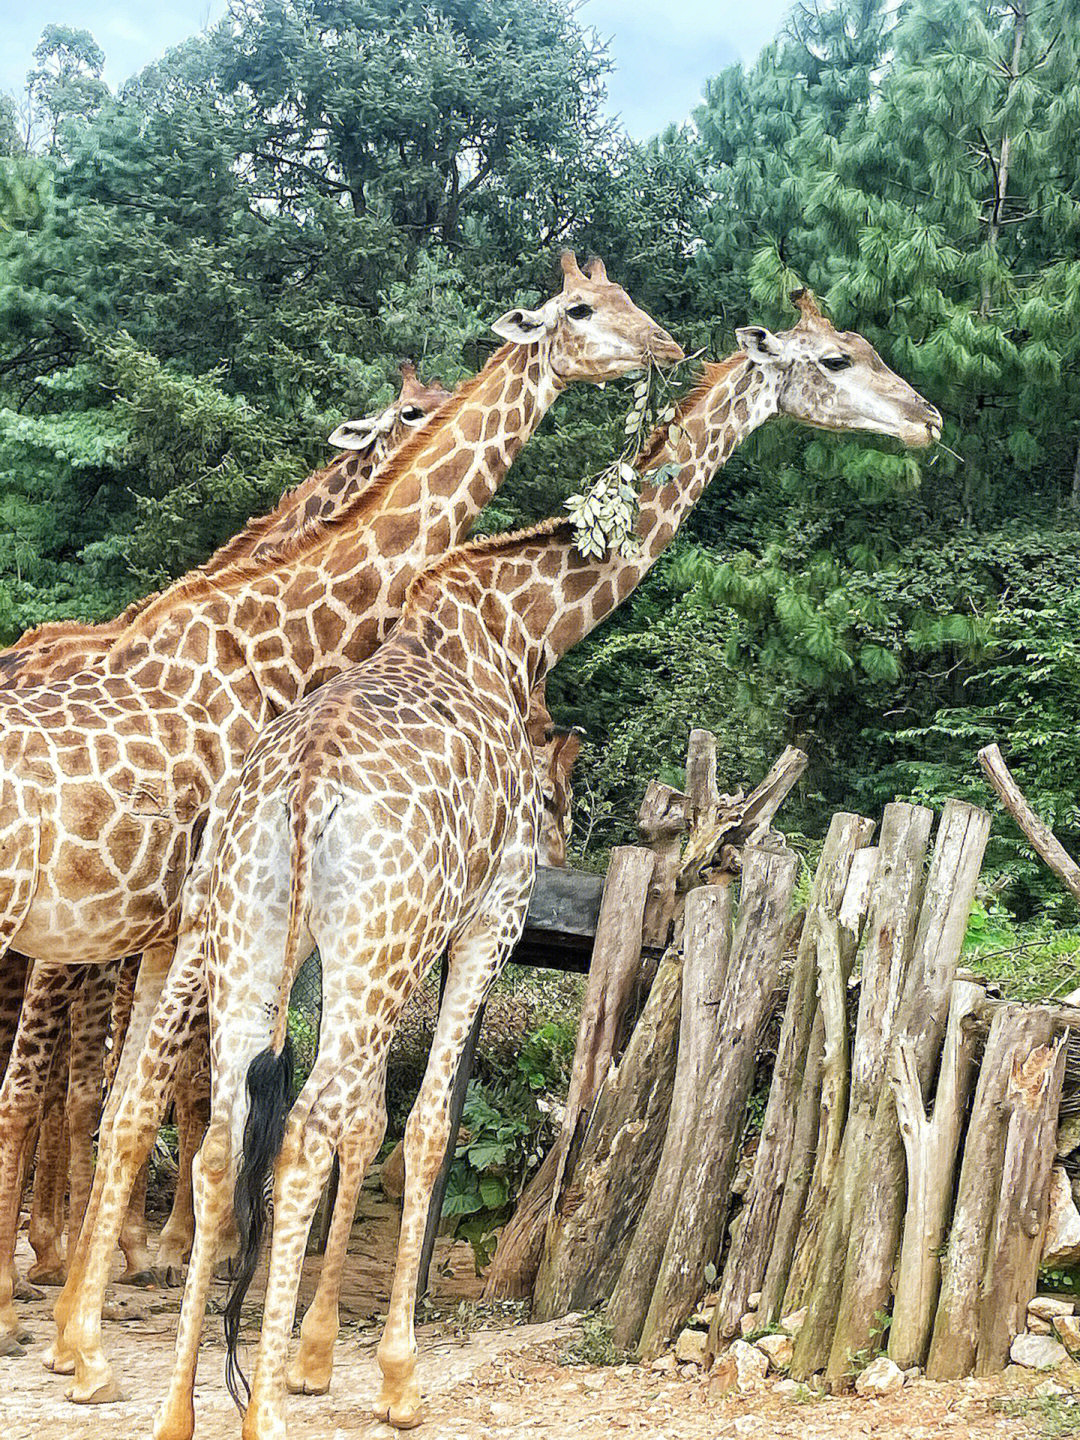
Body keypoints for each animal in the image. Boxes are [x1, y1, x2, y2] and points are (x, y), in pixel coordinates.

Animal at [84, 286, 944, 1434]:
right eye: (839, 359)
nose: (926, 419)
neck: (517, 626)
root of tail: (298, 794)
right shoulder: (491, 909)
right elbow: (423, 1126)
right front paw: (390, 1375)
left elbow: (376, 1123)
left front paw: (323, 1356)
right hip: (360, 945)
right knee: (303, 1127)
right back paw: (250, 1403)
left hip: (256, 935)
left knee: (223, 1136)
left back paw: (177, 1407)